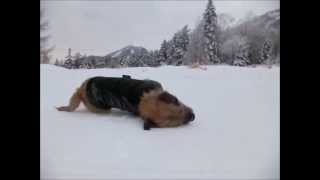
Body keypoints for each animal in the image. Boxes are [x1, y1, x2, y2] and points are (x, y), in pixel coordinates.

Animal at [56, 75, 194, 130]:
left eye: (179, 105)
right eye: (174, 123)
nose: (193, 116)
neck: (142, 100)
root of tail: (81, 90)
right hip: (101, 108)